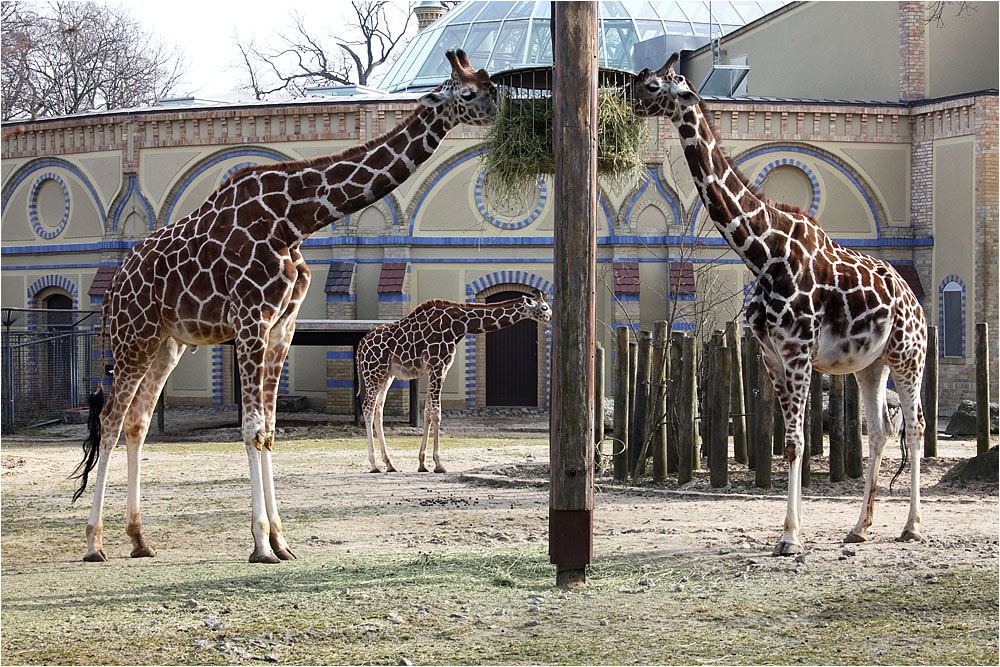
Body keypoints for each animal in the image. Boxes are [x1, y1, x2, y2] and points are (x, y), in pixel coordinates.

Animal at [72, 51, 498, 564]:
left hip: (166, 344)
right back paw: (94, 543)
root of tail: (115, 285)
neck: (293, 219)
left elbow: (271, 429)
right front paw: (260, 544)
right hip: (132, 336)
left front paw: (281, 540)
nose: (498, 109)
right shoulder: (250, 320)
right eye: (469, 91)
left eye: (491, 84)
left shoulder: (282, 325)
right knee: (110, 421)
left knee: (136, 422)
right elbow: (253, 428)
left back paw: (139, 539)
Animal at [356, 292, 552, 474]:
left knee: (378, 410)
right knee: (367, 408)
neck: (457, 325)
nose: (550, 317)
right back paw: (374, 465)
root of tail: (360, 346)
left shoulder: (440, 370)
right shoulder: (437, 367)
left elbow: (427, 413)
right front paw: (439, 464)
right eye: (544, 307)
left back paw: (389, 464)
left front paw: (422, 463)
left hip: (386, 376)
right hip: (373, 373)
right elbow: (436, 413)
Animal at [632, 57, 928, 556]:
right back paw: (859, 528)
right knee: (881, 430)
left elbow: (795, 442)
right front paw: (794, 530)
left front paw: (790, 537)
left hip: (909, 357)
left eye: (653, 86)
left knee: (918, 426)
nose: (629, 103)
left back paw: (912, 526)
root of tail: (915, 300)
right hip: (872, 365)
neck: (764, 253)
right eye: (639, 79)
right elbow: (792, 443)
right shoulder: (771, 354)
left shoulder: (798, 351)